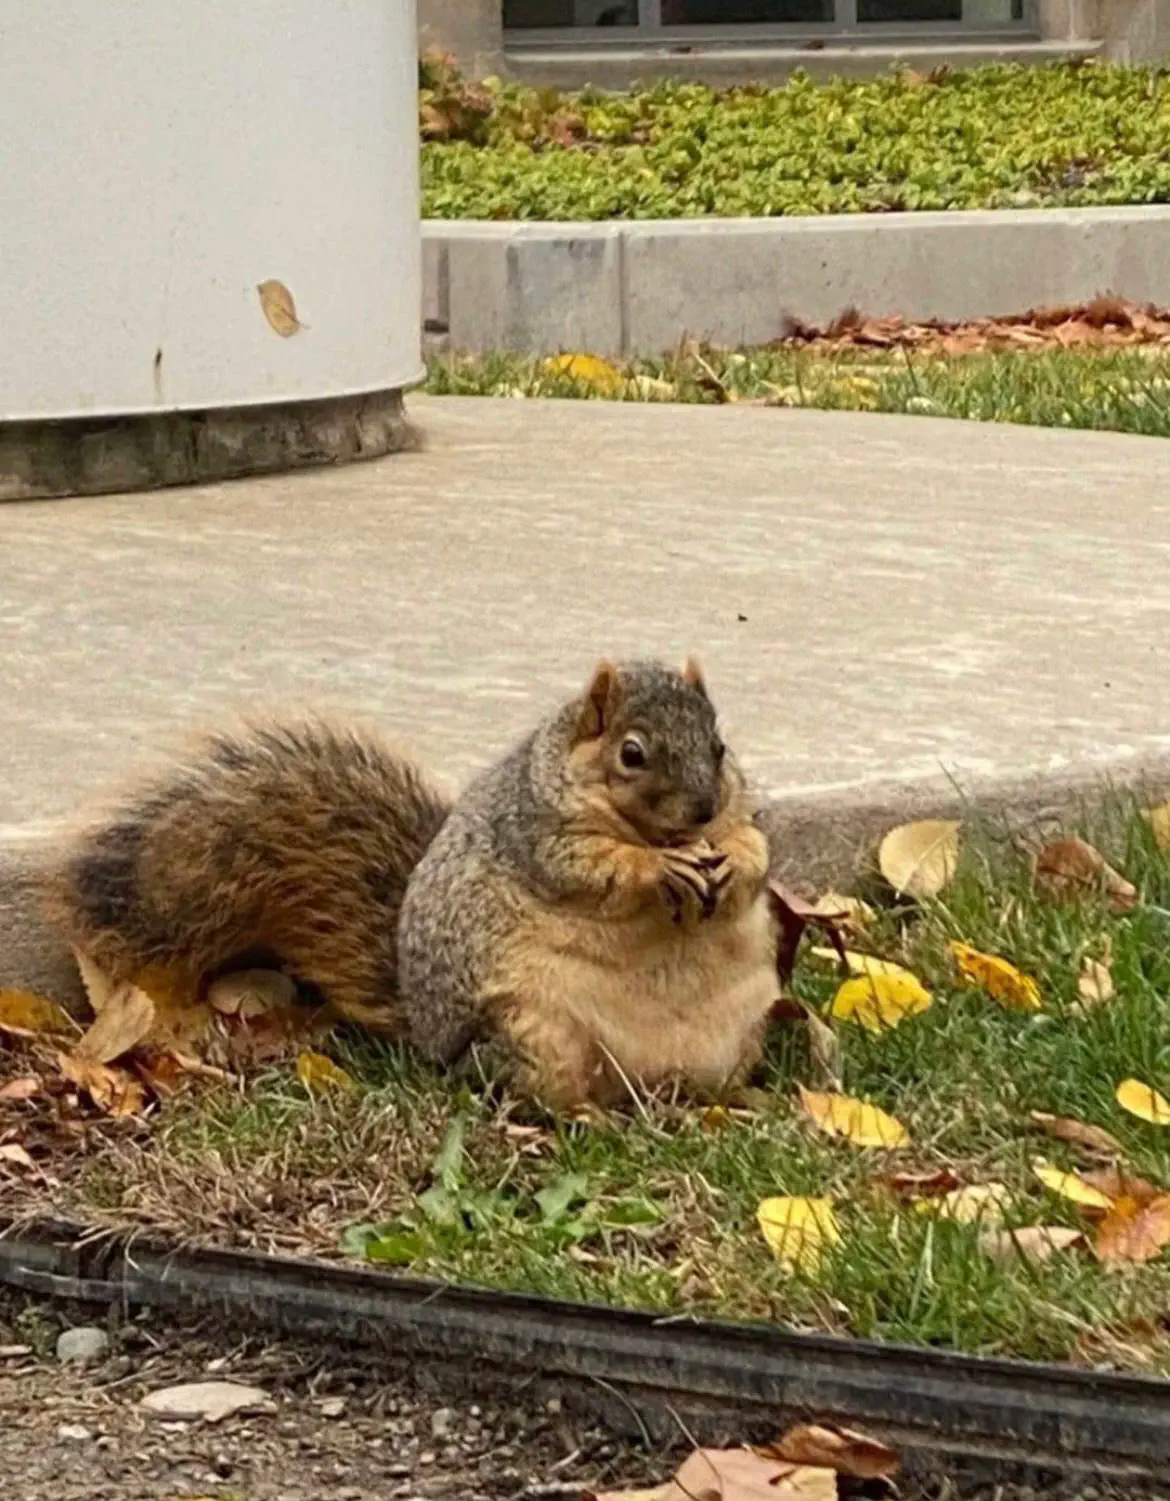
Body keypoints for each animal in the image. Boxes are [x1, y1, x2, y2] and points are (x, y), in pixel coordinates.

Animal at [48, 658, 780, 1109]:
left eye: (719, 746)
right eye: (632, 753)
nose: (702, 807)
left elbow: (756, 851)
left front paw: (731, 859)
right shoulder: (538, 833)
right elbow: (592, 868)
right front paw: (657, 869)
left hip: (745, 1031)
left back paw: (745, 1101)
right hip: (534, 1034)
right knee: (531, 1095)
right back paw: (583, 1116)